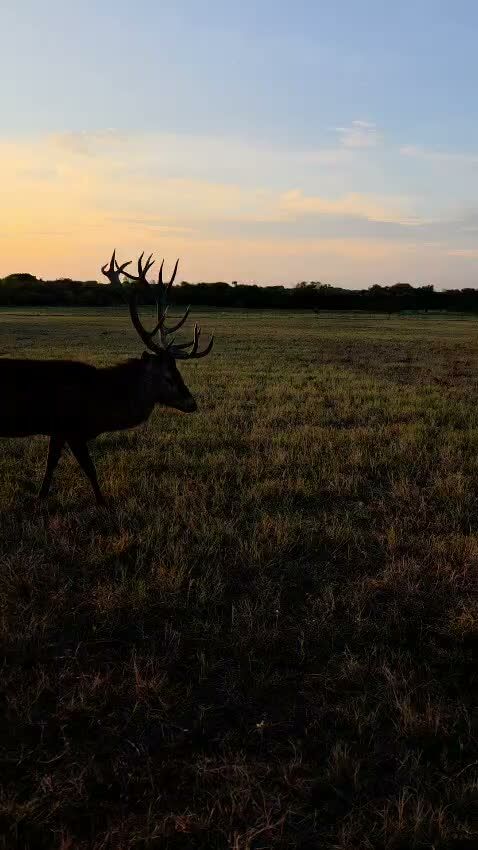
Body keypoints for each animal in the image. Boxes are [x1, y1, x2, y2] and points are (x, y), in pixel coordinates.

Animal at [0, 251, 213, 505]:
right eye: (168, 377)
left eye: (178, 372)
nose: (192, 403)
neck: (100, 405)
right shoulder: (70, 427)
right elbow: (89, 468)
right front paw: (102, 502)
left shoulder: (58, 431)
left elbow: (51, 465)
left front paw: (40, 498)